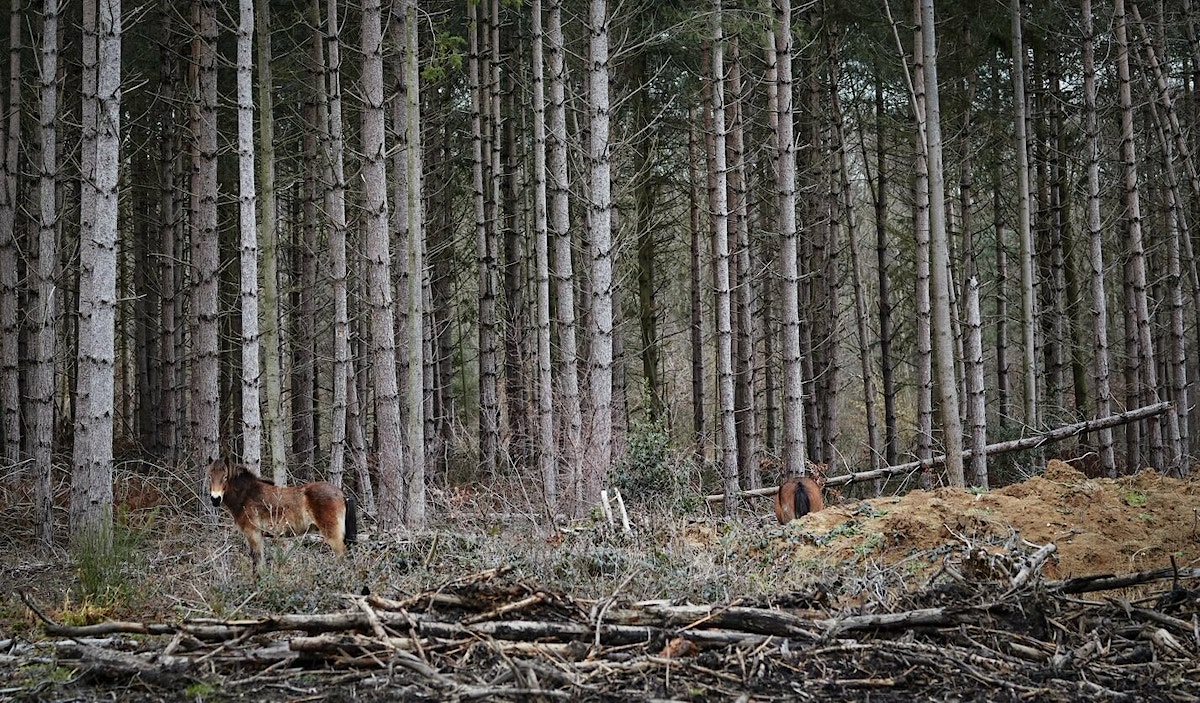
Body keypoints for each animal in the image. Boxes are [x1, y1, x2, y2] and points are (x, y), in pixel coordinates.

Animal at [208, 460, 355, 568]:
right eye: (209, 476)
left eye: (225, 477)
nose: (215, 499)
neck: (247, 495)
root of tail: (341, 494)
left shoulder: (253, 534)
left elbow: (257, 563)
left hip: (333, 536)